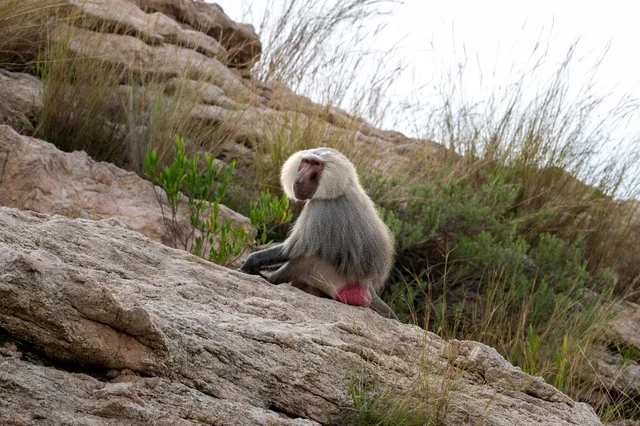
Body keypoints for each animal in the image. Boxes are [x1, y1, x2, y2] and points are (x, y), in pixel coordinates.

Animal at [238, 147, 398, 320]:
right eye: (305, 162)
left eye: (316, 164)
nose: (299, 180)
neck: (342, 188)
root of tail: (368, 287)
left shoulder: (320, 208)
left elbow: (293, 249)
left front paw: (249, 262)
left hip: (333, 281)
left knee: (306, 258)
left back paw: (268, 278)